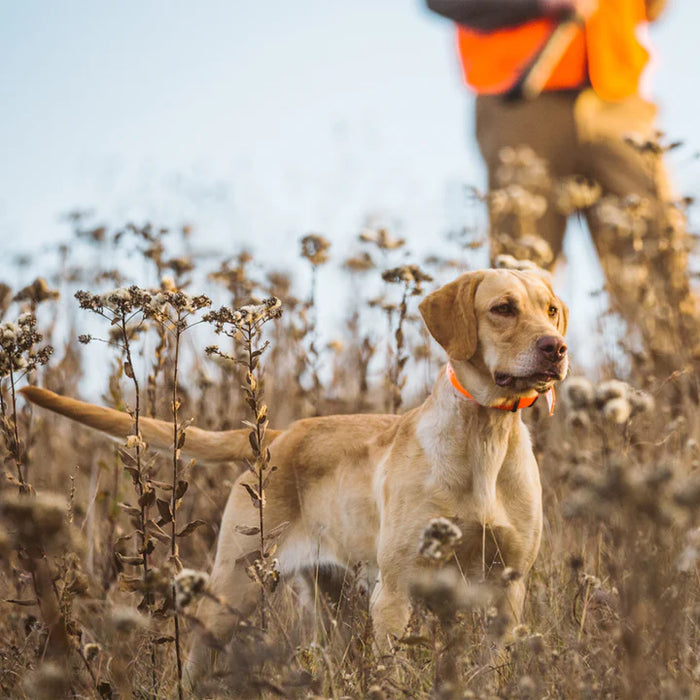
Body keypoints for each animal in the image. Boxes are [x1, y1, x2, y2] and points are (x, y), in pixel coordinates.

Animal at [21, 266, 568, 684]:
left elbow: (493, 667)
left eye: (550, 309)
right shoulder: (396, 592)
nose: (556, 347)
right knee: (196, 658)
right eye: (503, 308)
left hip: (336, 603)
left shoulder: (508, 590)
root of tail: (281, 435)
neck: (485, 436)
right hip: (234, 589)